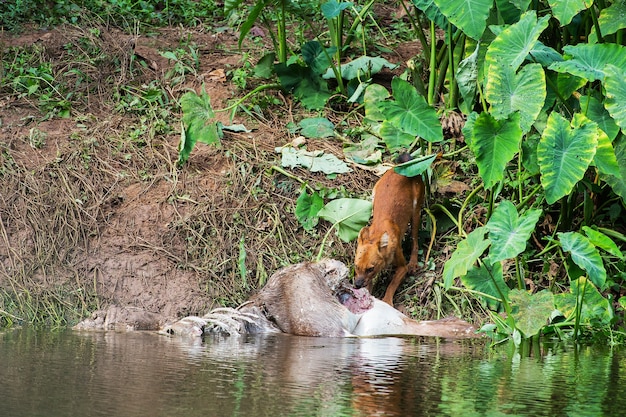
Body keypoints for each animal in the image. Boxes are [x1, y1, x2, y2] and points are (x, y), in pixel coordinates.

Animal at [352, 166, 424, 306]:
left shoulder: (402, 266)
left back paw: (413, 263)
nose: (357, 285)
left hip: (416, 212)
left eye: (370, 269)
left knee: (415, 240)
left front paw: (387, 301)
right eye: (356, 266)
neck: (376, 234)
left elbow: (392, 284)